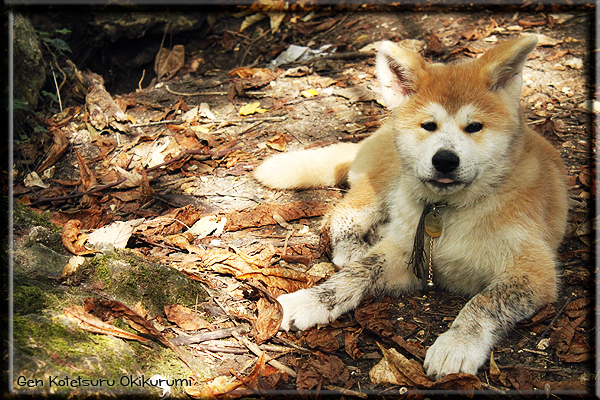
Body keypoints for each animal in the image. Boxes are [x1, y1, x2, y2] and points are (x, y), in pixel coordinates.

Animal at [253, 36, 568, 382]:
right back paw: (350, 247)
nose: (445, 160)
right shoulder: (407, 255)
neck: (453, 210)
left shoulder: (533, 273)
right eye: (428, 125)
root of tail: (371, 137)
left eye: (474, 127)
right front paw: (312, 299)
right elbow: (358, 272)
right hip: (382, 185)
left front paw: (457, 344)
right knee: (342, 214)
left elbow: (483, 303)